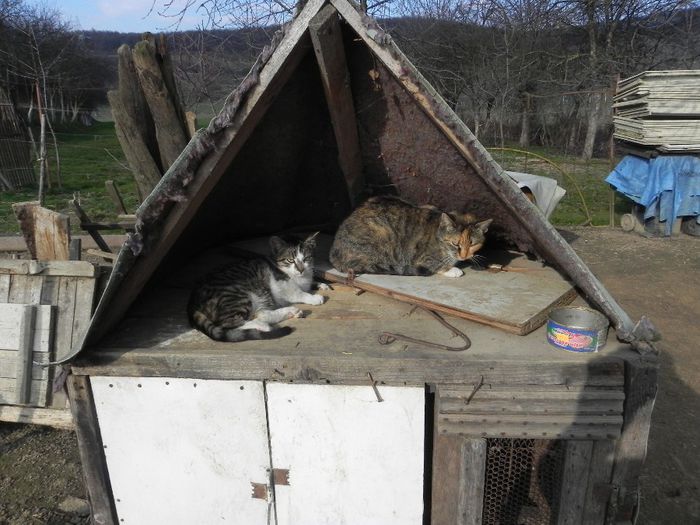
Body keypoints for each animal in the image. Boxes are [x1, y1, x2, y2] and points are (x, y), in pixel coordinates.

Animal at [187, 232, 326, 340]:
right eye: (290, 260)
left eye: (306, 258)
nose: (301, 269)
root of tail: (192, 301)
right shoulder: (281, 283)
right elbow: (297, 292)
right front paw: (313, 297)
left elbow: (308, 284)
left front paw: (321, 284)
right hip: (239, 295)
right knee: (231, 323)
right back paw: (263, 325)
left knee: (261, 313)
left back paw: (290, 312)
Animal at [330, 195, 490, 278]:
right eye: (455, 244)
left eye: (472, 244)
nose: (464, 256)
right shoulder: (422, 258)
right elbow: (436, 264)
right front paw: (452, 269)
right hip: (380, 234)